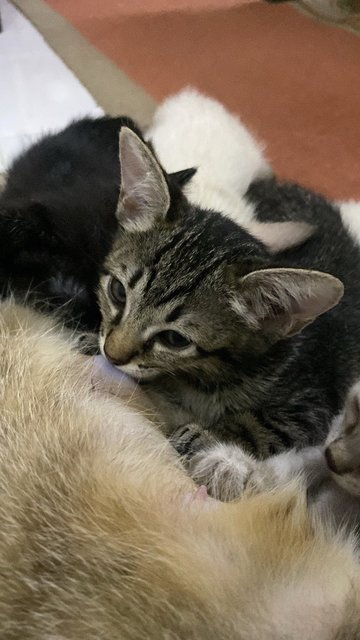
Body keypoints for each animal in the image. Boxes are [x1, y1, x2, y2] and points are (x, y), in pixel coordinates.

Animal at [98, 129, 360, 464]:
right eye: (118, 292)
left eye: (174, 339)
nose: (111, 355)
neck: (209, 377)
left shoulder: (311, 406)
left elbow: (256, 426)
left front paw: (202, 436)